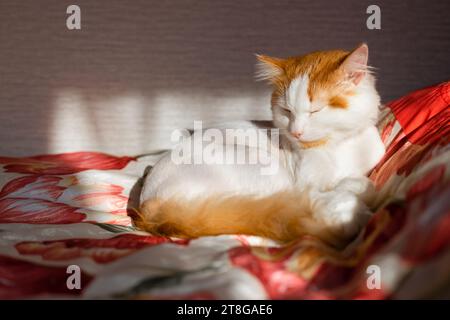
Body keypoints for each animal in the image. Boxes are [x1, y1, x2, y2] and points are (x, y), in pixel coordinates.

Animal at [135, 43, 384, 248]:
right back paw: (351, 215)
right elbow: (350, 184)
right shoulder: (306, 181)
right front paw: (353, 190)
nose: (296, 131)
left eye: (316, 111)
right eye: (287, 111)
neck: (341, 147)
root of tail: (149, 204)